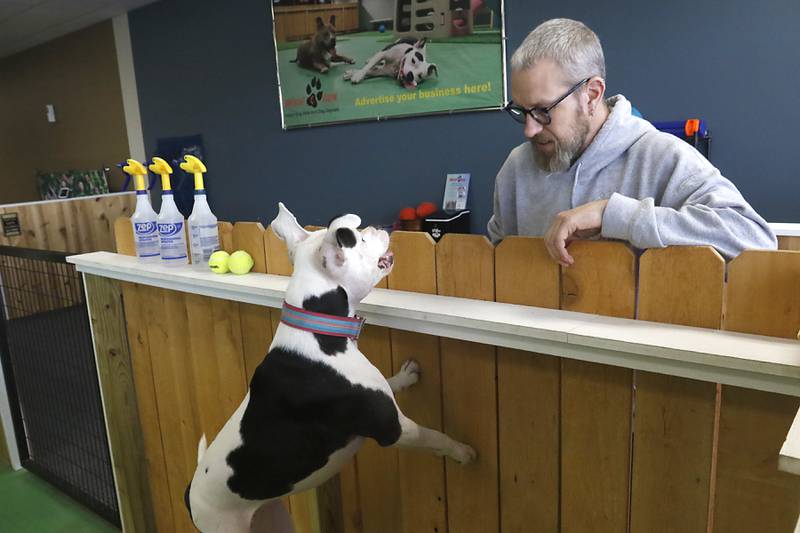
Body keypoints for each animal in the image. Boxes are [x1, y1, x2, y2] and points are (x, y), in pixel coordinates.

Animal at [188, 202, 476, 528]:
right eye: (360, 239)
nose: (378, 228)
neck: (318, 329)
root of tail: (191, 493)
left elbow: (389, 383)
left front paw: (405, 376)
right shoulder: (395, 429)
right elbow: (434, 437)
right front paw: (462, 451)